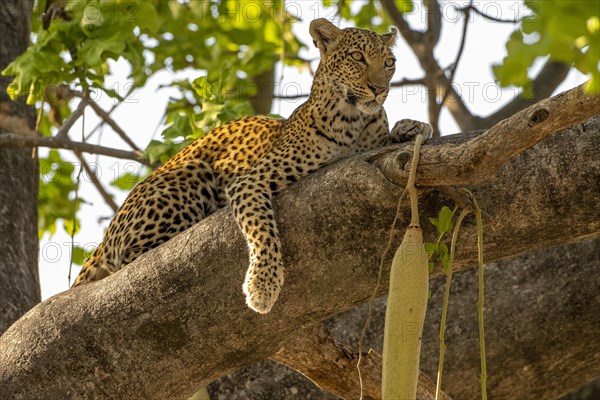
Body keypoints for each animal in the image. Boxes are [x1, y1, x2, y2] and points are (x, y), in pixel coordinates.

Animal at [72, 18, 432, 312]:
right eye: (357, 57)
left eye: (389, 63)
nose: (380, 89)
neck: (355, 121)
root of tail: (104, 238)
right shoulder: (250, 180)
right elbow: (262, 228)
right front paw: (263, 284)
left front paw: (412, 126)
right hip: (189, 174)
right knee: (131, 259)